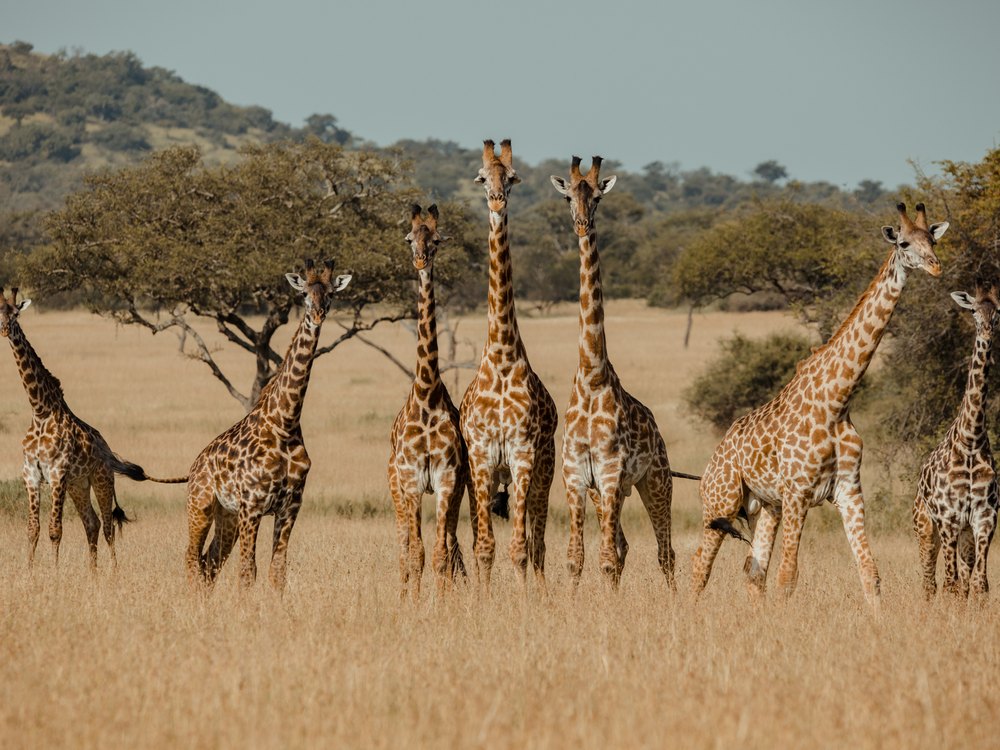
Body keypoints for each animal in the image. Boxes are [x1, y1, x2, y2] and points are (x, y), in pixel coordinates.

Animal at [0, 286, 185, 570]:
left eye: (16, 314)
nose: (4, 330)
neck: (40, 412)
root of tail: (108, 451)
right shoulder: (30, 474)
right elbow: (33, 529)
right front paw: (30, 572)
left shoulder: (57, 474)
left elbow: (55, 530)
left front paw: (54, 573)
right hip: (78, 485)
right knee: (92, 523)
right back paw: (93, 572)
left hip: (101, 480)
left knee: (108, 527)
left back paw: (113, 572)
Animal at [184, 259, 351, 590]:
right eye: (303, 294)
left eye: (330, 294)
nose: (317, 315)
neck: (284, 422)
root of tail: (196, 465)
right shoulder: (252, 505)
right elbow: (248, 572)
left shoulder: (289, 507)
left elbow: (277, 572)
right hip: (201, 506)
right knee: (191, 559)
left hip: (227, 517)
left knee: (210, 562)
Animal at [550, 156, 679, 588]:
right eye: (569, 196)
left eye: (598, 197)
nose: (581, 223)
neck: (591, 376)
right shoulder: (576, 477)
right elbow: (575, 558)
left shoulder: (609, 473)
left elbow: (604, 558)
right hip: (612, 492)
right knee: (622, 545)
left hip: (656, 481)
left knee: (665, 553)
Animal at [690, 202, 949, 606]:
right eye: (904, 243)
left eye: (933, 240)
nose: (936, 267)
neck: (837, 401)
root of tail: (714, 457)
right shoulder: (798, 492)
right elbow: (788, 577)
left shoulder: (848, 491)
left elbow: (870, 573)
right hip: (721, 502)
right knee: (700, 567)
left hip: (766, 506)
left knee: (753, 570)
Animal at [913, 285, 999, 599]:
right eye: (973, 311)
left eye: (998, 312)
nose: (987, 331)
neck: (971, 440)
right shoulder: (949, 518)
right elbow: (950, 584)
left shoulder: (984, 517)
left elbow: (978, 584)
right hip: (926, 529)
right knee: (930, 583)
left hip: (964, 535)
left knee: (961, 580)